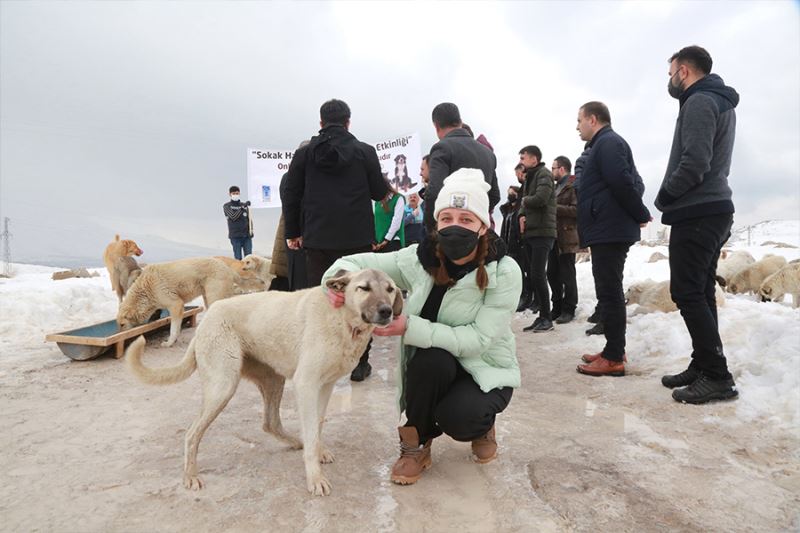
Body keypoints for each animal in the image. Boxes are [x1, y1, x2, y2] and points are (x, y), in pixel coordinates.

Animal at [126, 268, 404, 496]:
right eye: (363, 288)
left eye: (390, 289)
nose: (386, 311)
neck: (342, 319)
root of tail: (208, 316)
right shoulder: (306, 384)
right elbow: (312, 431)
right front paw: (315, 478)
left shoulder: (325, 386)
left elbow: (317, 426)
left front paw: (317, 449)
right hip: (223, 386)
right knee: (191, 434)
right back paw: (190, 476)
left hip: (273, 379)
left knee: (269, 423)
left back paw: (295, 441)